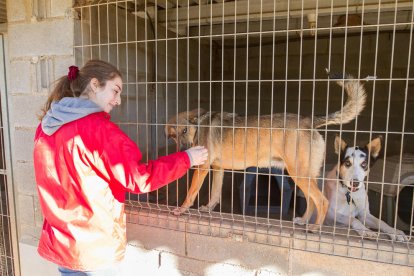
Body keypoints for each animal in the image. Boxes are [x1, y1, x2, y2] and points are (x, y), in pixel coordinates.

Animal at [165, 77, 366, 229]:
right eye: (173, 136)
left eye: (184, 131)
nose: (184, 152)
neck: (198, 127)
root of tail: (309, 121)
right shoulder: (217, 169)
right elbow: (214, 193)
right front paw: (208, 208)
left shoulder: (202, 168)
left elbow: (191, 193)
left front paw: (182, 209)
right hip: (304, 176)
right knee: (311, 201)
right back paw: (303, 221)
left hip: (299, 173)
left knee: (322, 201)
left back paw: (315, 228)